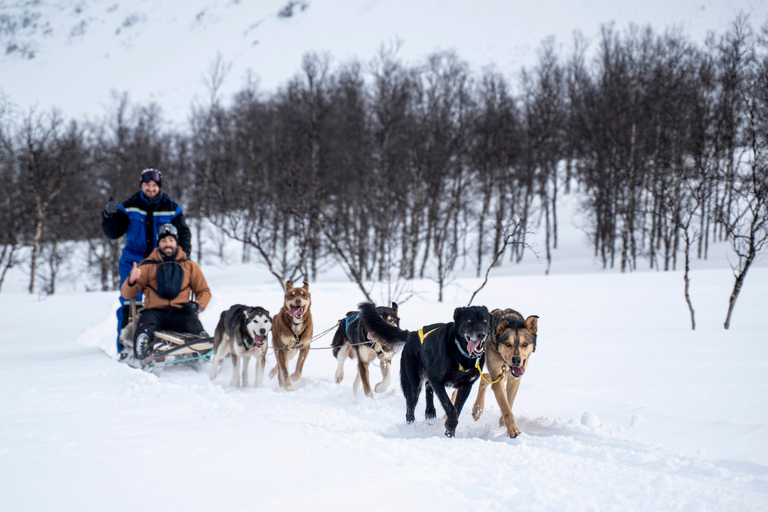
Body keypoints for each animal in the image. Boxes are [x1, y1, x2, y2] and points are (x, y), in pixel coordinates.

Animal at [360, 302, 492, 438]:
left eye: (485, 320)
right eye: (469, 320)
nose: (481, 334)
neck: (461, 352)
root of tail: (411, 334)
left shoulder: (466, 385)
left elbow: (457, 408)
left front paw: (450, 431)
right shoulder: (437, 380)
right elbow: (450, 408)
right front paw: (450, 425)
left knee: (428, 386)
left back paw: (430, 412)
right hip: (413, 384)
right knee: (410, 408)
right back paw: (411, 428)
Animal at [472, 308, 536, 436]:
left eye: (525, 344)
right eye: (507, 344)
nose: (517, 360)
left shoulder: (513, 379)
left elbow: (509, 402)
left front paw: (502, 425)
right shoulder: (498, 377)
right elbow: (506, 407)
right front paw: (513, 430)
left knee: (484, 378)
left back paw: (478, 409)